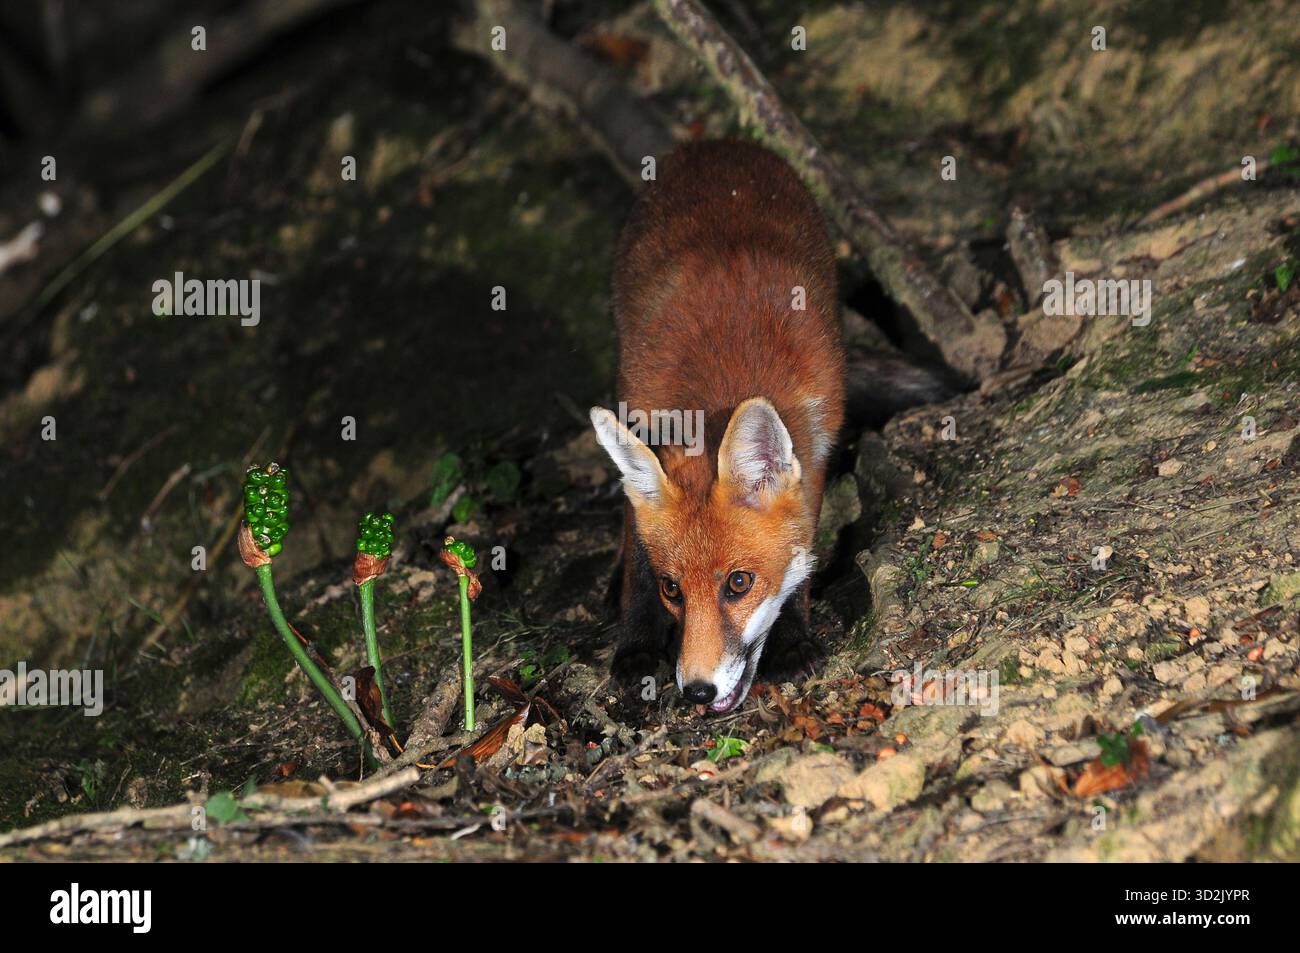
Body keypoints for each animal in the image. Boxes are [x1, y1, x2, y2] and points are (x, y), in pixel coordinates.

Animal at [589, 140, 846, 714]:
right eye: (673, 590)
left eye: (739, 583)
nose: (696, 692)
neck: (724, 391)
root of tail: (714, 144)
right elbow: (638, 554)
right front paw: (636, 644)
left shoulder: (817, 451)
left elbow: (804, 552)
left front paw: (792, 638)